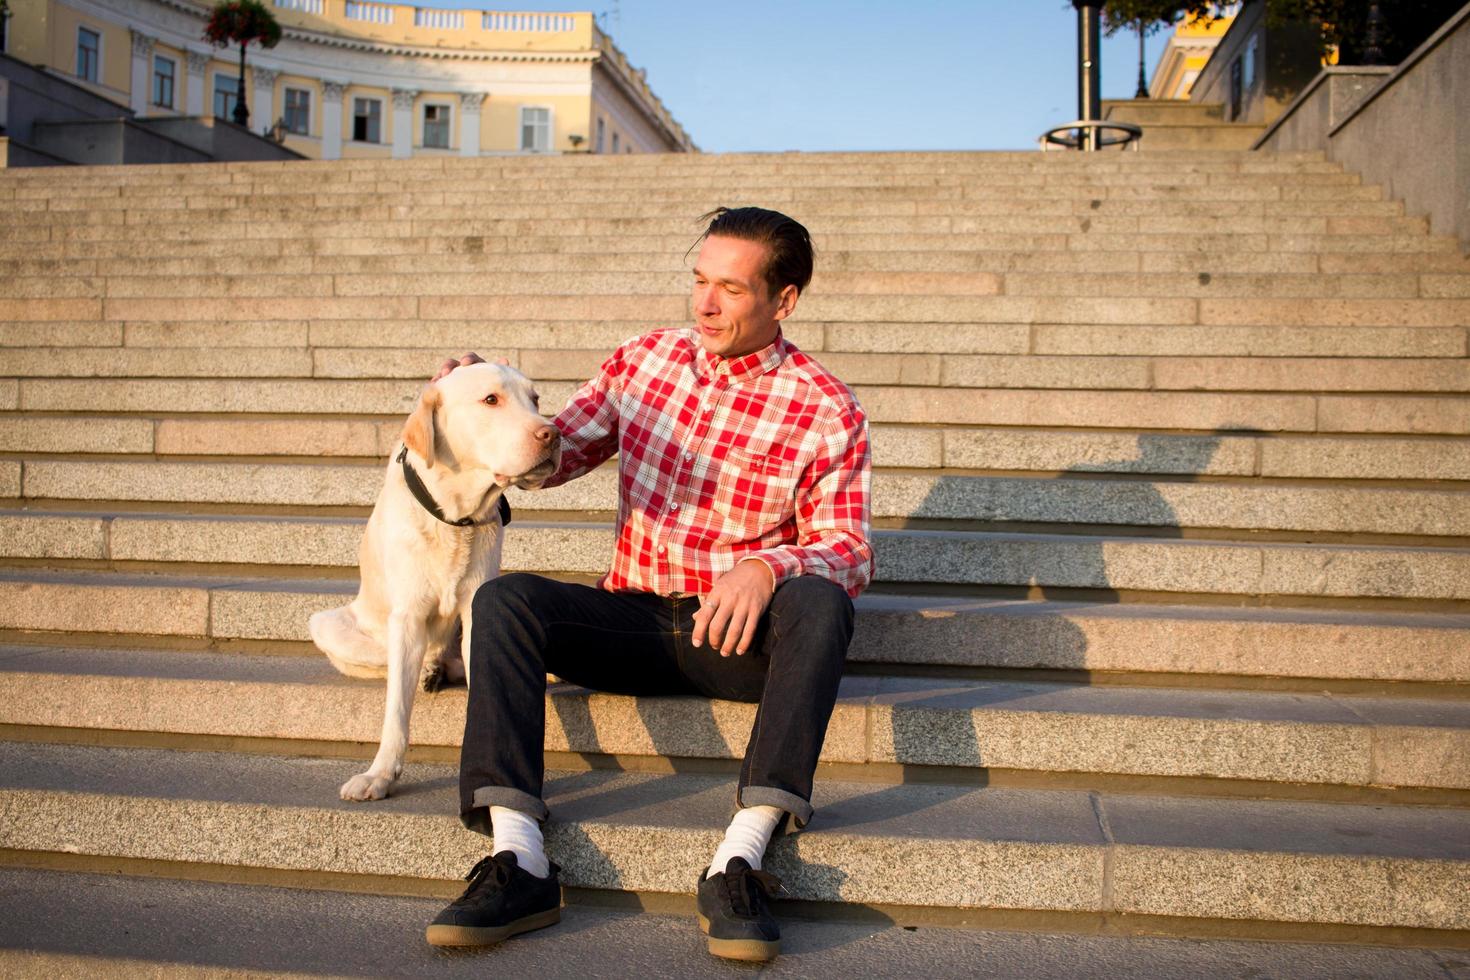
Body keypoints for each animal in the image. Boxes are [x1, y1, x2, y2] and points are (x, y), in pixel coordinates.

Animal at [308, 364, 555, 799]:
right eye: (491, 399)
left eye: (535, 399)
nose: (553, 434)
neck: (455, 516)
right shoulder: (406, 616)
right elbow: (396, 711)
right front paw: (379, 774)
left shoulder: (477, 608)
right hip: (326, 623)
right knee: (387, 661)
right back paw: (427, 669)